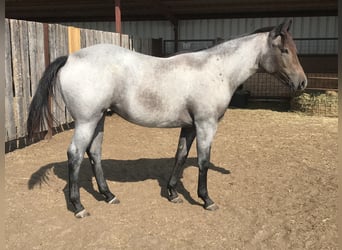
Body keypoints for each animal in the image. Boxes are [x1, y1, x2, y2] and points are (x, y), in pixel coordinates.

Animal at [27, 19, 308, 217]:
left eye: (294, 49)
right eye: (284, 50)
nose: (302, 82)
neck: (217, 69)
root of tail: (70, 58)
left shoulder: (190, 126)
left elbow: (181, 156)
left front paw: (172, 193)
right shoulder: (206, 125)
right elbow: (204, 161)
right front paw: (206, 199)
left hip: (99, 120)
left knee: (94, 153)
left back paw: (108, 195)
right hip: (86, 121)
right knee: (75, 155)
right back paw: (78, 206)